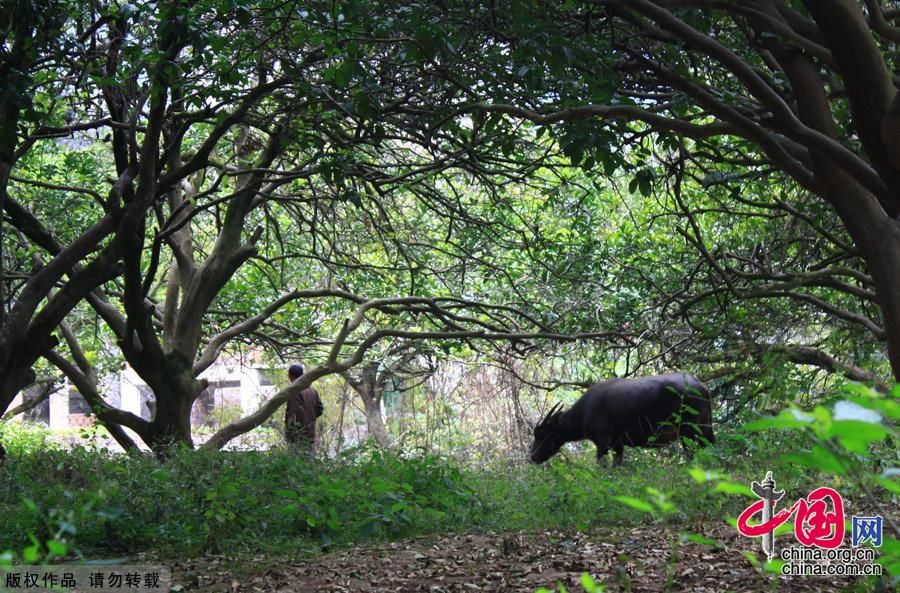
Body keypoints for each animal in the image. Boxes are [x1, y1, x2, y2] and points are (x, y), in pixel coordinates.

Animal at [528, 374, 716, 468]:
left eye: (541, 433)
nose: (532, 457)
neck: (584, 411)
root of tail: (701, 385)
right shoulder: (618, 444)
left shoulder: (603, 441)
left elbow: (602, 464)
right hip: (704, 428)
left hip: (688, 430)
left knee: (692, 452)